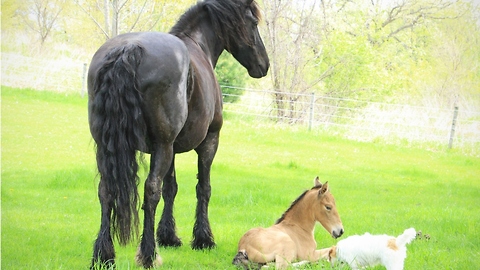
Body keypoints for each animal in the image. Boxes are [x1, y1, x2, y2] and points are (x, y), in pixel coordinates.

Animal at [86, 0, 266, 268]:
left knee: (106, 190)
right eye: (253, 23)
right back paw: (148, 254)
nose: (263, 65)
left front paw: (168, 236)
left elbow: (171, 188)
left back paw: (103, 255)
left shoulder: (169, 149)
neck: (198, 46)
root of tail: (129, 49)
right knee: (151, 191)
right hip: (164, 145)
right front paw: (203, 239)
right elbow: (203, 188)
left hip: (110, 146)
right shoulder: (208, 142)